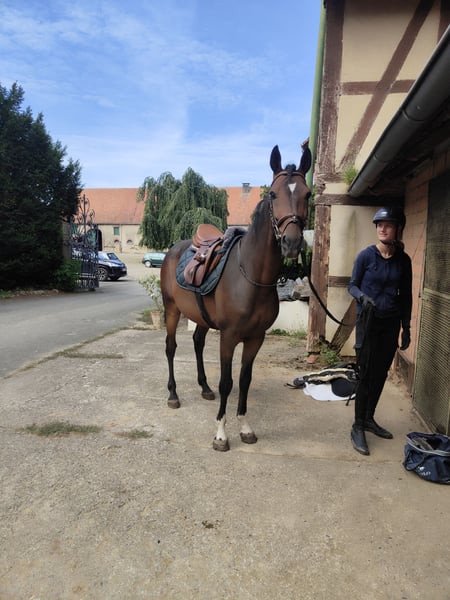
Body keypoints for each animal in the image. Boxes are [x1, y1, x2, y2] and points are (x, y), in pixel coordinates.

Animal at [160, 143, 312, 451]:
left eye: (307, 194)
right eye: (273, 194)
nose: (291, 243)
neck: (251, 277)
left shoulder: (255, 338)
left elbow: (244, 380)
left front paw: (245, 427)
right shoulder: (229, 337)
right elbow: (227, 382)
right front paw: (220, 433)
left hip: (200, 318)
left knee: (197, 343)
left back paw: (204, 387)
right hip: (171, 310)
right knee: (171, 348)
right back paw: (173, 395)